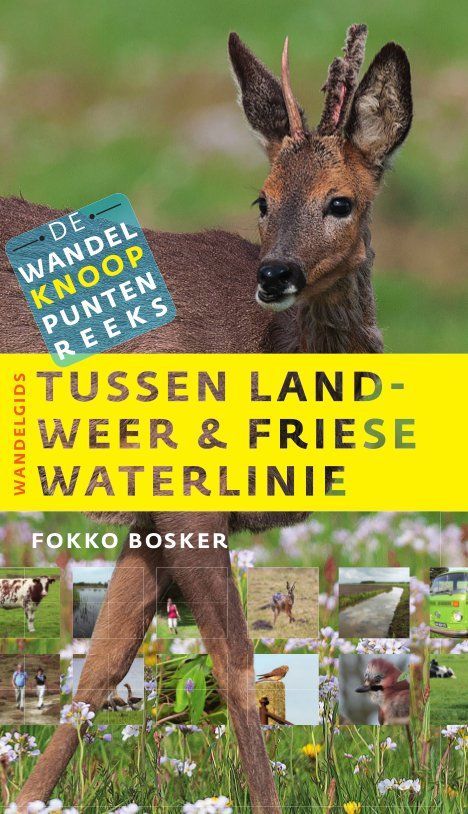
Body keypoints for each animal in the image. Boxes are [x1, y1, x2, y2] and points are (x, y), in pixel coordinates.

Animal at [0, 23, 412, 813]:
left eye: (340, 202)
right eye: (263, 199)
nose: (274, 274)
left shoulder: (150, 514)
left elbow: (103, 662)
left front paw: (28, 801)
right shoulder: (186, 489)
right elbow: (234, 659)